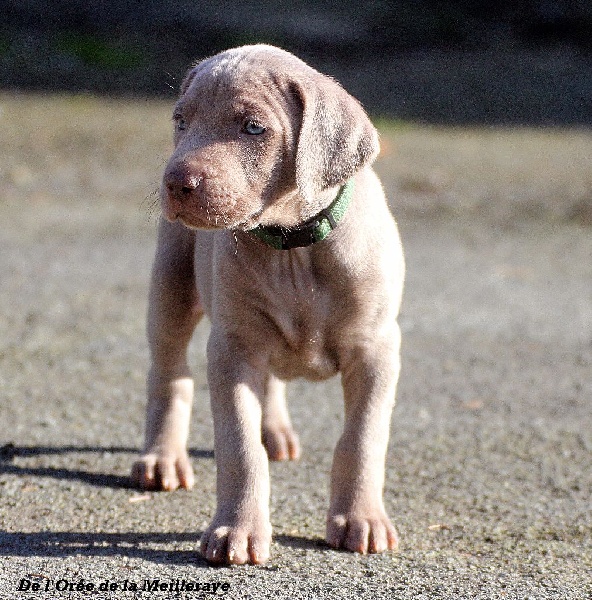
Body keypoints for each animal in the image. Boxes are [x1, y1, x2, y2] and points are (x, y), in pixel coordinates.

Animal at [132, 44, 404, 564]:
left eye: (253, 127)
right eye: (181, 120)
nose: (174, 182)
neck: (291, 246)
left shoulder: (377, 350)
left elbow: (362, 440)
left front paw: (361, 520)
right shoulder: (233, 349)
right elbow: (239, 449)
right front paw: (236, 531)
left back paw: (275, 432)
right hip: (170, 286)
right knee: (170, 374)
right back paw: (162, 459)